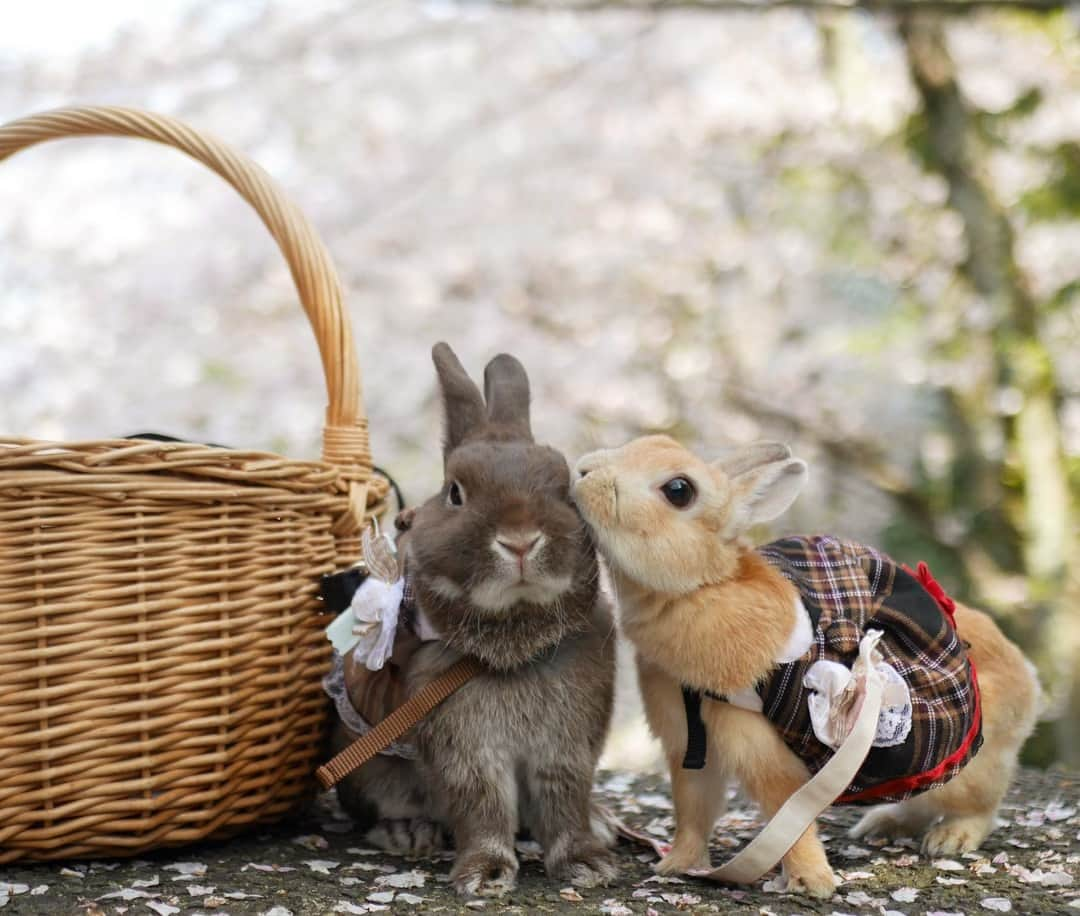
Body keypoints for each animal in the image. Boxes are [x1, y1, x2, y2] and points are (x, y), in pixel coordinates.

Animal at [332, 341, 617, 894]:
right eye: (456, 493)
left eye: (564, 487)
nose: (521, 541)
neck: (516, 637)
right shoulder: (463, 745)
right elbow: (480, 803)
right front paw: (484, 876)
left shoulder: (567, 744)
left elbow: (564, 799)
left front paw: (587, 865)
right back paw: (408, 834)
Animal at [574, 434, 1036, 894]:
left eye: (678, 490)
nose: (581, 472)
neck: (704, 587)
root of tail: (1028, 681)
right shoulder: (689, 742)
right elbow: (693, 809)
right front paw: (677, 865)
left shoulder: (759, 746)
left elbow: (786, 815)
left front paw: (811, 881)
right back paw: (880, 826)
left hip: (959, 772)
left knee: (981, 805)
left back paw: (948, 839)